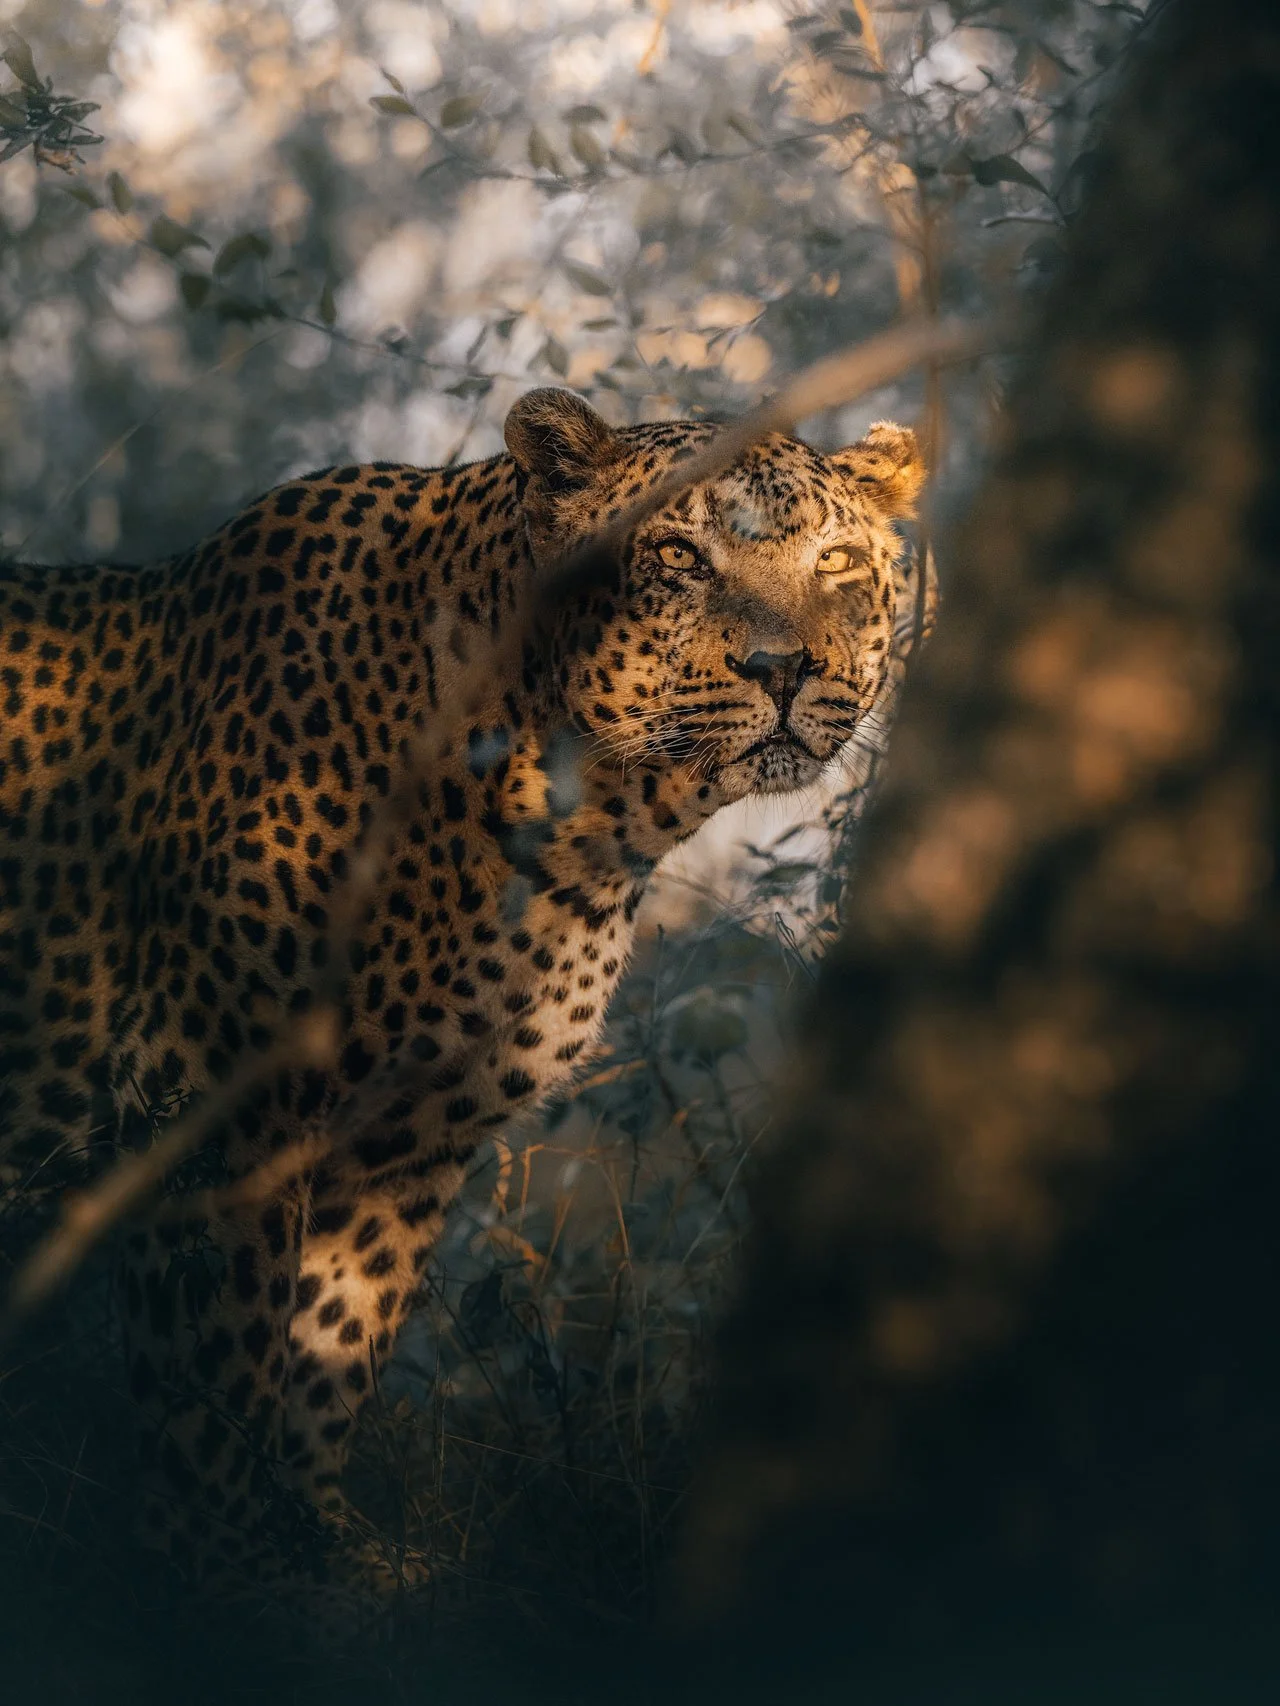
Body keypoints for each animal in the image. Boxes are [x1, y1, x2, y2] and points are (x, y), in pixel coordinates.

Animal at [0, 386, 925, 1594]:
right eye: (678, 554)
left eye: (839, 563)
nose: (783, 670)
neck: (577, 822)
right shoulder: (215, 1105)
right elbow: (224, 1371)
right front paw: (222, 1566)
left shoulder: (409, 1138)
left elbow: (333, 1345)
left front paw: (328, 1555)